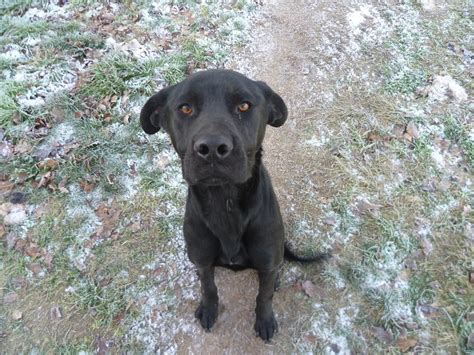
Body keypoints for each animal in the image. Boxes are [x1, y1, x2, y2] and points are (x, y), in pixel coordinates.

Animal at [139, 70, 328, 342]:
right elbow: (208, 287)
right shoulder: (203, 259)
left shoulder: (267, 262)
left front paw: (265, 320)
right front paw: (209, 308)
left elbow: (264, 295)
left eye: (244, 106)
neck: (224, 201)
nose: (212, 148)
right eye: (185, 108)